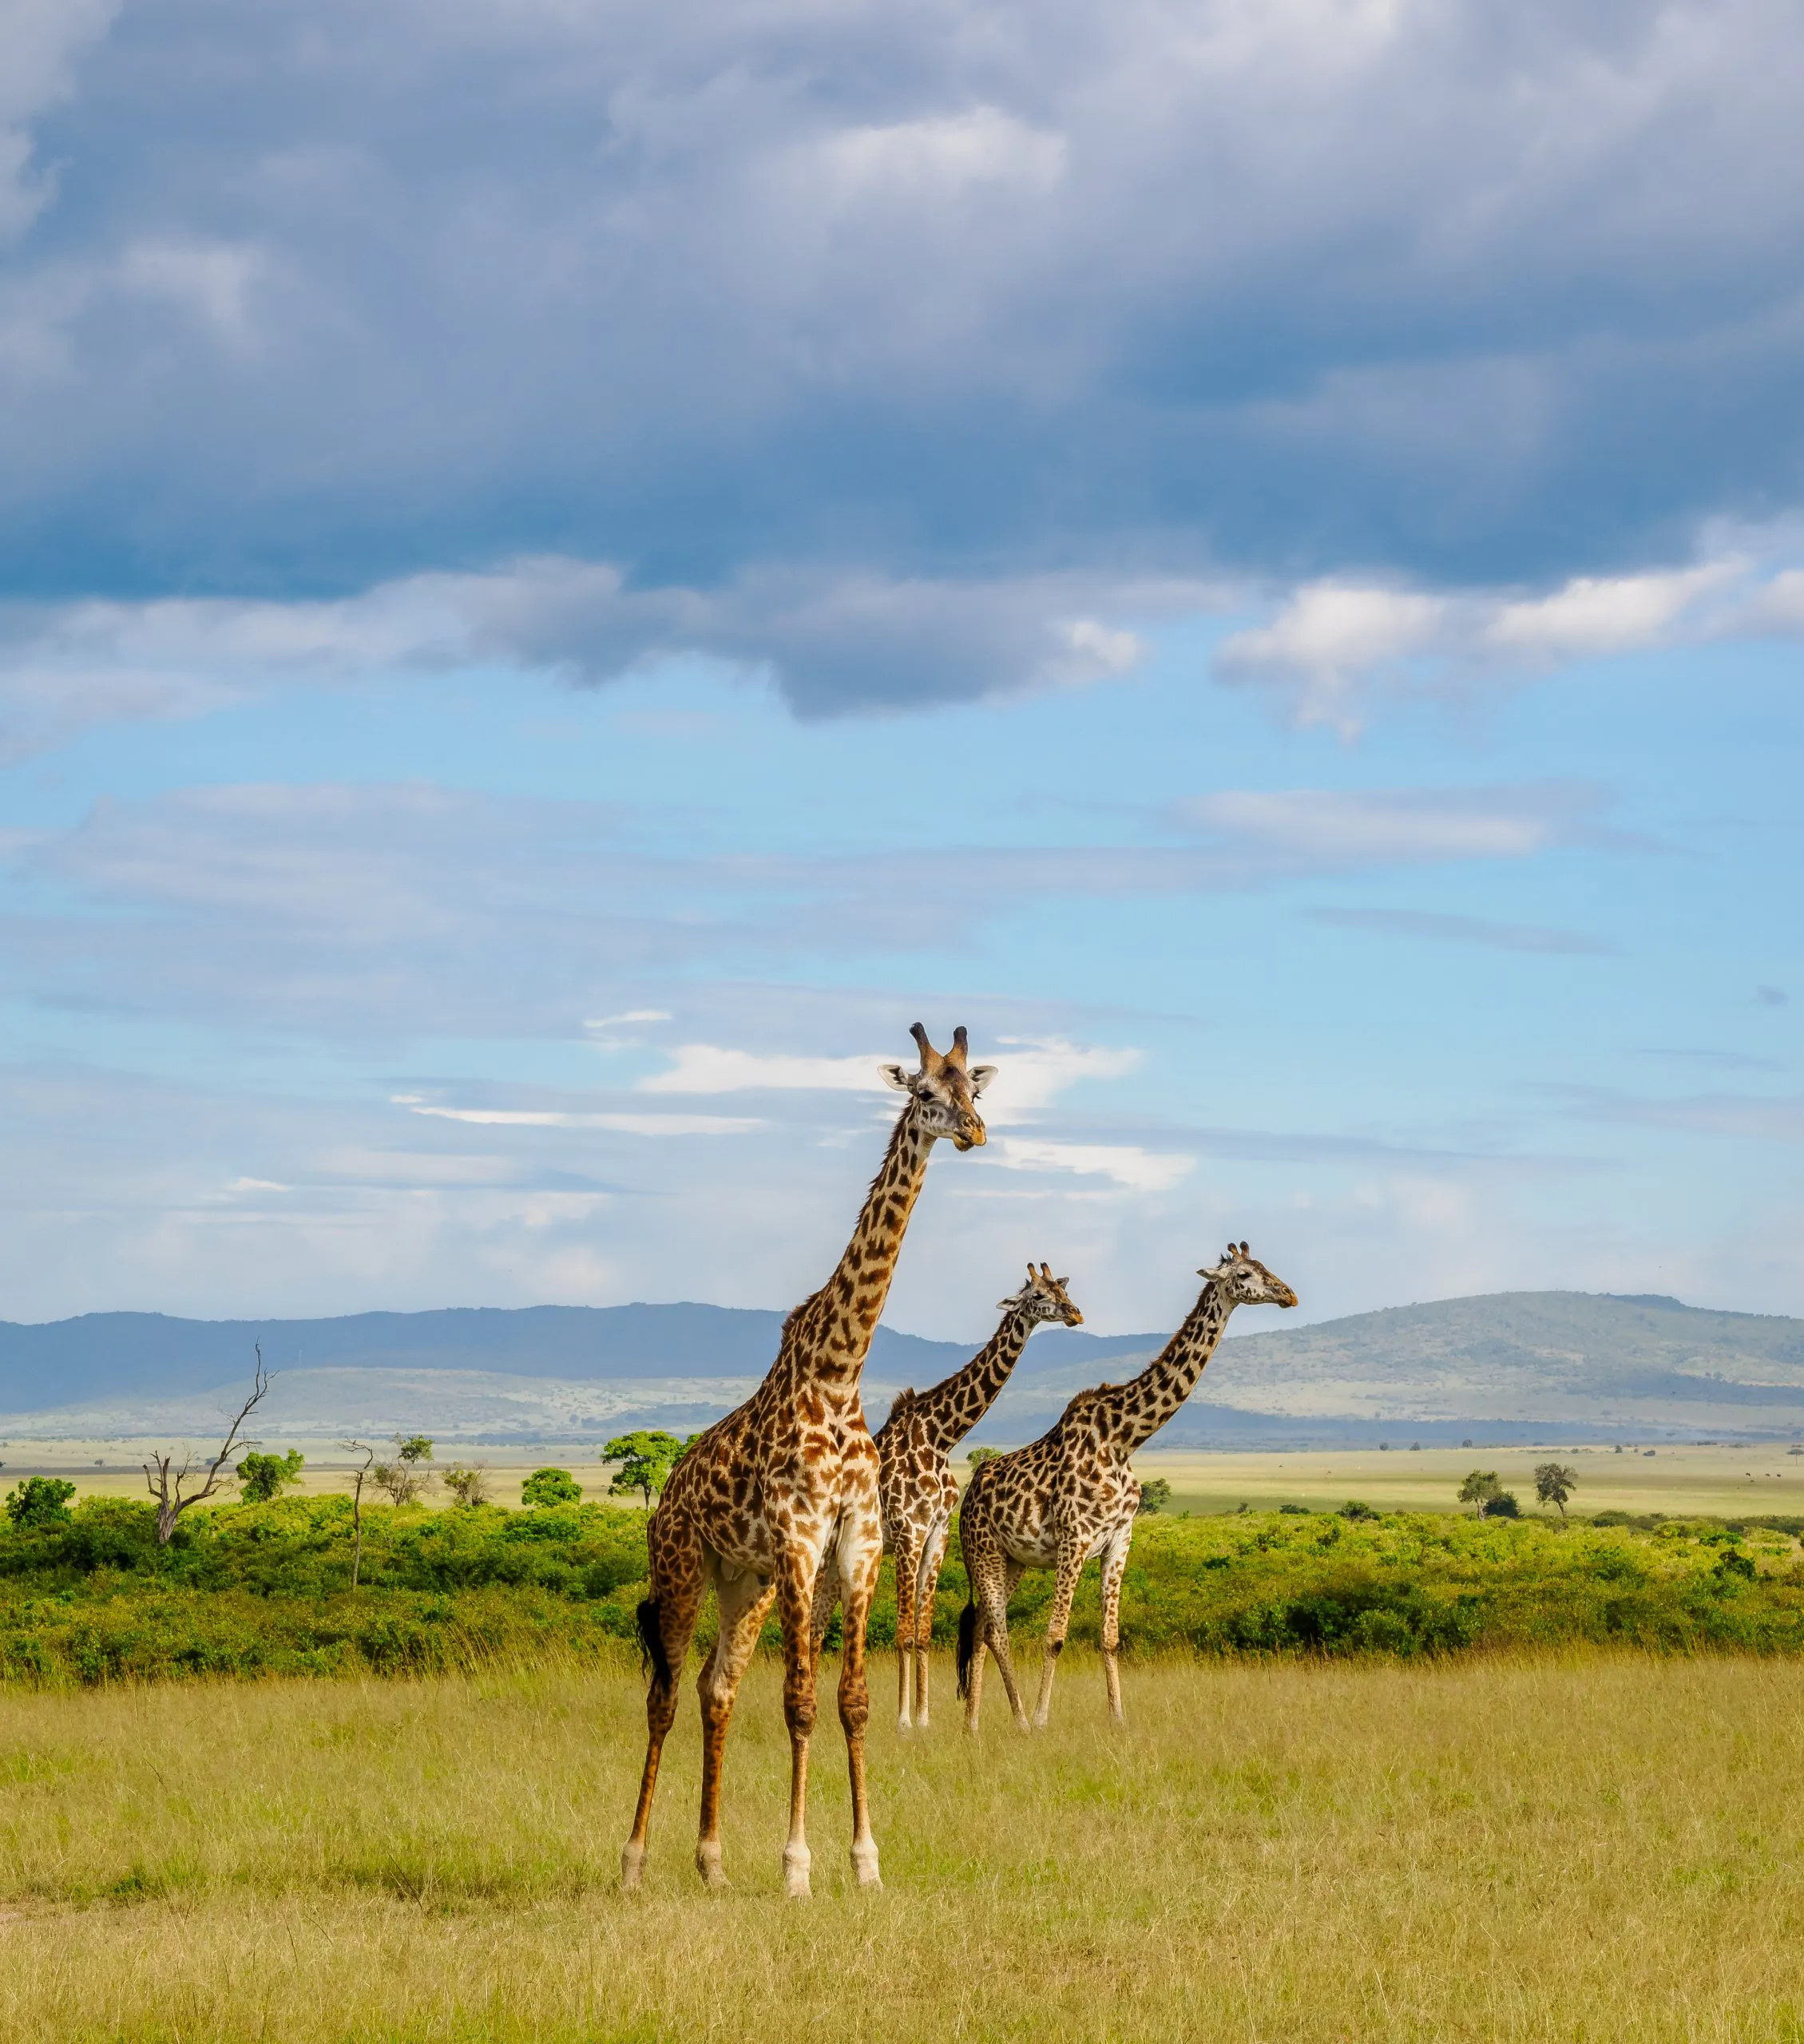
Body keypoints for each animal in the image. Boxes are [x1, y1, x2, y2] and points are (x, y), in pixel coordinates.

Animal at [619, 1023, 995, 1900]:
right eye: (924, 1092)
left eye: (974, 1089)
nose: (974, 1132)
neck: (839, 1369)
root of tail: (667, 1494)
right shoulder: (799, 1537)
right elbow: (799, 1700)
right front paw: (796, 1867)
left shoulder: (856, 1537)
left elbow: (851, 1699)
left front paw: (865, 1861)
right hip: (683, 1568)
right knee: (662, 1695)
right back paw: (634, 1861)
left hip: (742, 1581)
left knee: (715, 1688)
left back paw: (712, 1862)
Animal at [813, 1262, 1084, 1733]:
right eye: (1036, 1296)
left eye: (1060, 1289)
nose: (1074, 1313)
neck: (941, 1438)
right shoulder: (908, 1531)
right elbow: (904, 1633)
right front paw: (903, 1721)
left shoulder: (936, 1535)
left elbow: (923, 1633)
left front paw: (924, 1719)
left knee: (815, 1624)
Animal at [955, 1241, 1297, 1732]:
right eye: (1246, 1274)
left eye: (1266, 1265)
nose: (1289, 1294)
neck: (1123, 1439)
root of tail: (966, 1498)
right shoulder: (1075, 1539)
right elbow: (1055, 1635)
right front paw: (1042, 1720)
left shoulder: (1120, 1538)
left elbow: (1111, 1637)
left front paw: (1118, 1718)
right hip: (981, 1550)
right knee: (996, 1630)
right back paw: (1019, 1720)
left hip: (1011, 1559)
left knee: (983, 1625)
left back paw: (973, 1725)